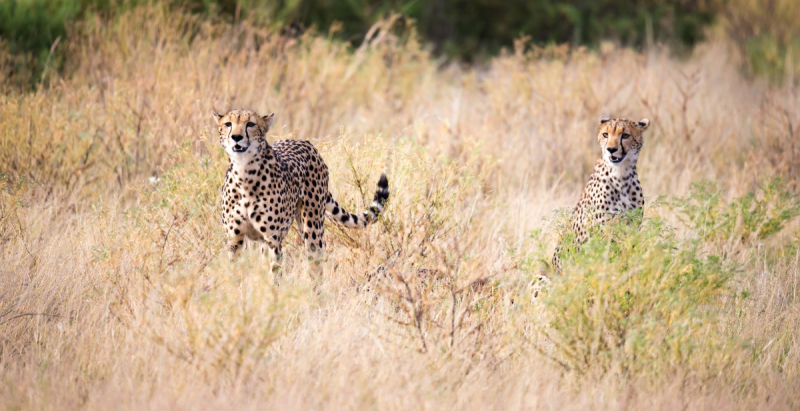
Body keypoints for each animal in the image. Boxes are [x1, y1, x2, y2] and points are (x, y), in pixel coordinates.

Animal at [212, 109, 388, 276]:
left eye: (250, 124)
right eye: (228, 124)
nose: (236, 137)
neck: (244, 172)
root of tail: (304, 142)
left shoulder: (272, 240)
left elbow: (274, 275)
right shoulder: (235, 240)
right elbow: (236, 275)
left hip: (312, 229)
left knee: (315, 265)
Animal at [552, 116, 652, 268]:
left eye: (625, 135)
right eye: (606, 134)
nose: (611, 149)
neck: (621, 175)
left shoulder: (631, 228)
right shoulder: (604, 231)